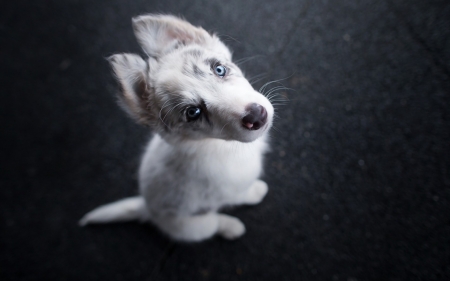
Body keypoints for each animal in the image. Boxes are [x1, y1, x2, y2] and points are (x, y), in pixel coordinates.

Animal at [78, 14, 272, 241]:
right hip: (195, 226)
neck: (216, 144)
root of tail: (147, 209)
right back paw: (231, 227)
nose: (257, 116)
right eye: (193, 112)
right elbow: (241, 194)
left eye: (219, 69)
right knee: (213, 223)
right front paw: (255, 192)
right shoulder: (228, 190)